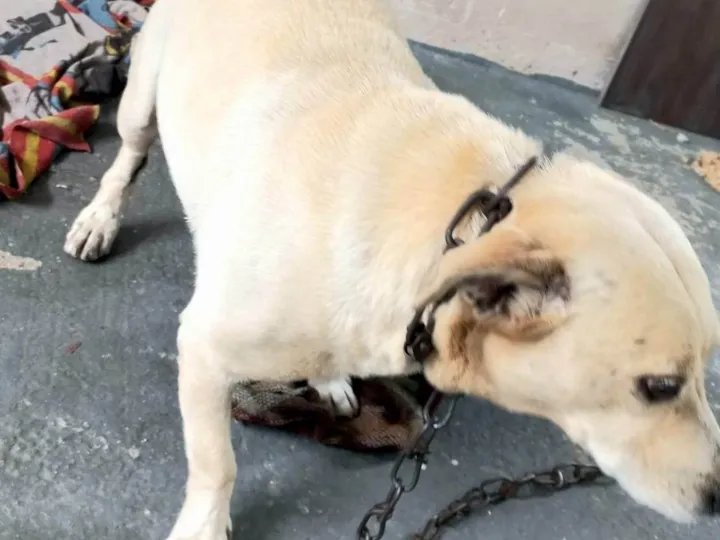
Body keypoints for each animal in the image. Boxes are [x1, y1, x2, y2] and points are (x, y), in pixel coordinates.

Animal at [63, 0, 720, 537]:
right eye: (659, 387)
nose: (718, 501)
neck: (451, 222)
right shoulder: (203, 349)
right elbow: (216, 464)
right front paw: (205, 525)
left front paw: (331, 377)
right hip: (143, 98)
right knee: (129, 156)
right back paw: (101, 216)